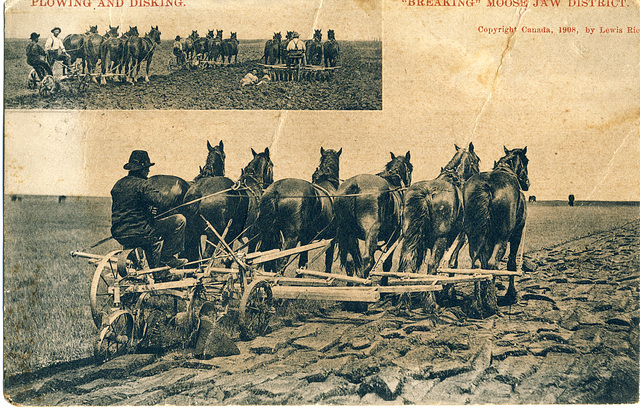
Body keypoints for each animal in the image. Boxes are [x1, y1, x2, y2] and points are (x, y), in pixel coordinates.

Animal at [400, 143, 480, 274]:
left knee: (407, 259)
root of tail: (427, 193)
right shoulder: (460, 237)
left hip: (409, 236)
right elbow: (452, 263)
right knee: (433, 264)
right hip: (440, 238)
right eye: (477, 160)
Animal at [464, 148, 528, 310]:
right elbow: (511, 264)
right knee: (493, 263)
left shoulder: (488, 238)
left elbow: (484, 263)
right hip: (502, 238)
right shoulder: (516, 235)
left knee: (476, 265)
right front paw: (511, 295)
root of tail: (487, 185)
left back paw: (477, 303)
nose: (527, 183)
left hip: (473, 236)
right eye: (527, 161)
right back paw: (491, 303)